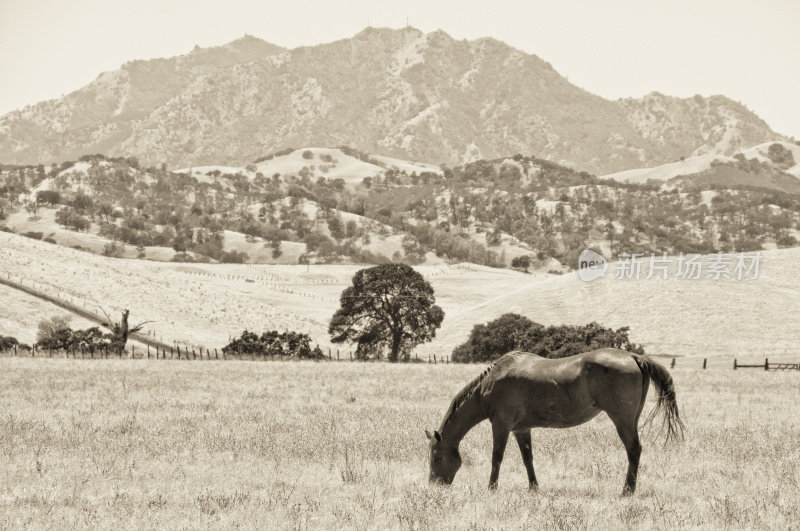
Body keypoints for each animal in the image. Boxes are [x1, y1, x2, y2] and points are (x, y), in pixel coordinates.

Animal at [424, 350, 680, 494]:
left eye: (436, 458)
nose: (434, 486)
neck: (490, 383)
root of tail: (634, 357)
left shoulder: (501, 425)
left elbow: (496, 457)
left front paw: (491, 488)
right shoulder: (521, 429)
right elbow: (528, 459)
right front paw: (534, 488)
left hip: (622, 420)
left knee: (634, 451)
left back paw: (627, 491)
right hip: (632, 419)